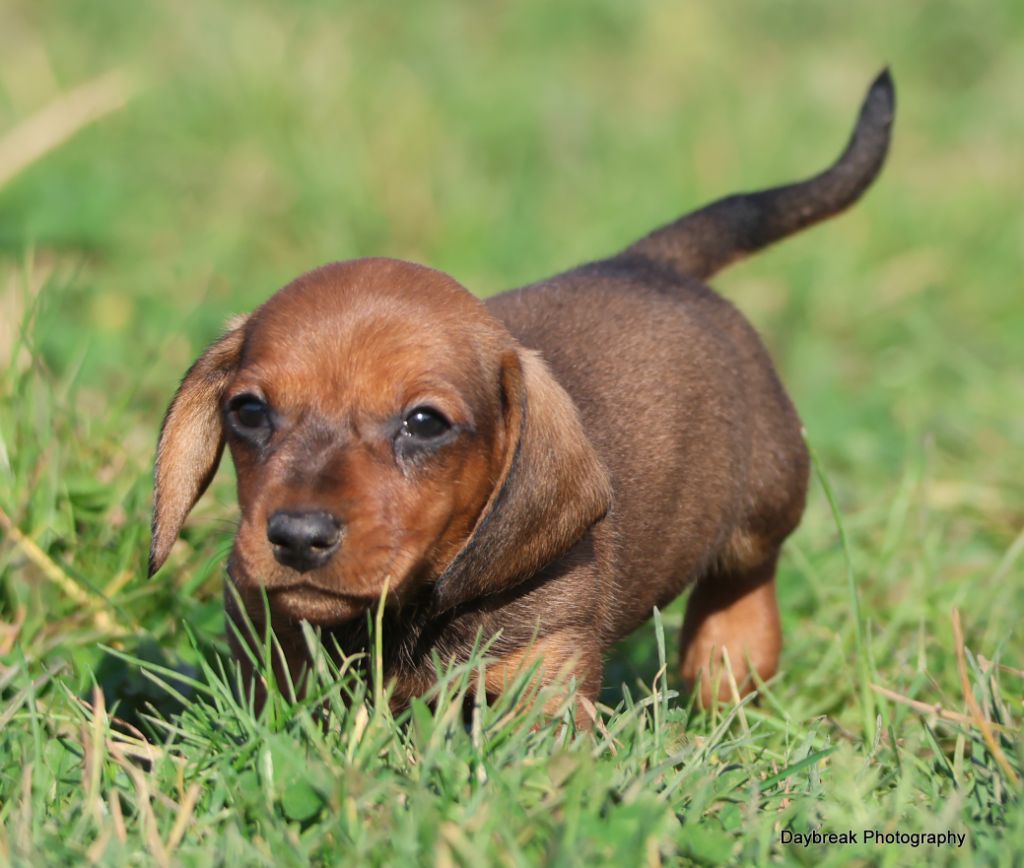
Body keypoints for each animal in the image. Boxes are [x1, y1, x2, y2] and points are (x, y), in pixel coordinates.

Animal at [148, 71, 892, 716]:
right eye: (248, 411)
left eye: (425, 422)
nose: (298, 538)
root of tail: (646, 263)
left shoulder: (541, 678)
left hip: (765, 499)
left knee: (745, 577)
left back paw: (728, 657)